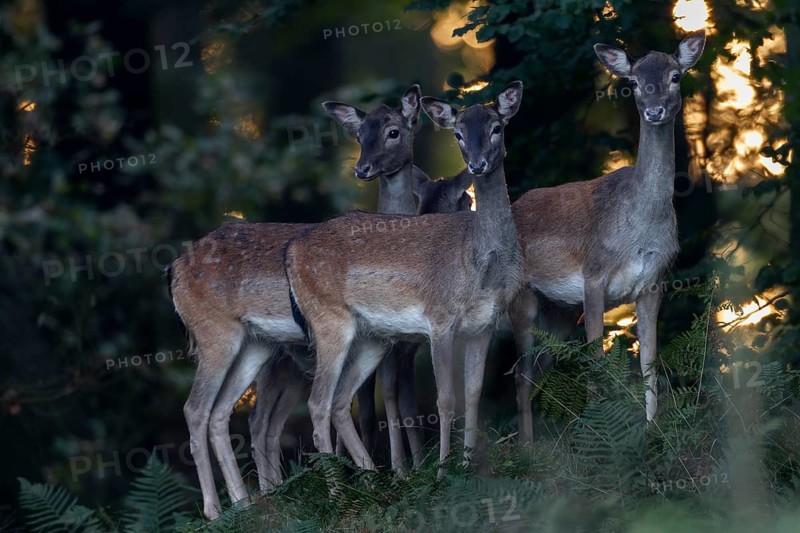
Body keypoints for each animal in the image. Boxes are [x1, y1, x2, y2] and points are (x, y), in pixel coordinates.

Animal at [168, 85, 472, 519]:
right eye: (360, 135)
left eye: (393, 131)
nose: (363, 168)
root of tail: (172, 270)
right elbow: (376, 404)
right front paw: (391, 474)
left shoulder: (400, 346)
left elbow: (400, 401)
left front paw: (400, 471)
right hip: (220, 337)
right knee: (203, 410)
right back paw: (218, 510)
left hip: (259, 346)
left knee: (235, 415)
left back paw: (250, 500)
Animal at [283, 81, 524, 472]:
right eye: (458, 134)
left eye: (496, 127)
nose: (478, 164)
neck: (480, 266)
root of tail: (290, 251)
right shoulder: (440, 319)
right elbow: (445, 398)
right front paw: (442, 470)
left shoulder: (484, 323)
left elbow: (473, 394)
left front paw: (467, 466)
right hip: (328, 321)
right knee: (319, 402)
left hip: (373, 337)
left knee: (341, 402)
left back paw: (372, 475)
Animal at [509, 30, 706, 443]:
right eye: (634, 82)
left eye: (675, 76)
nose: (654, 111)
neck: (640, 230)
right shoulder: (593, 275)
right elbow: (597, 361)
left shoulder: (654, 283)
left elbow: (649, 362)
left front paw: (653, 433)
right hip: (520, 299)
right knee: (520, 373)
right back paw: (527, 448)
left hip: (560, 310)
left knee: (540, 366)